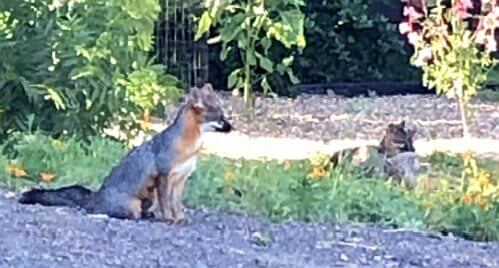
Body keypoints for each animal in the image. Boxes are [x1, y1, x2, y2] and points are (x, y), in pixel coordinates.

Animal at [18, 83, 232, 222]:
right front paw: (169, 219)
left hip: (149, 196)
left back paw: (149, 215)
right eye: (221, 118)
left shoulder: (180, 180)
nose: (232, 127)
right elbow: (166, 203)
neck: (190, 147)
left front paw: (179, 218)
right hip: (133, 205)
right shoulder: (163, 177)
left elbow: (176, 203)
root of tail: (95, 196)